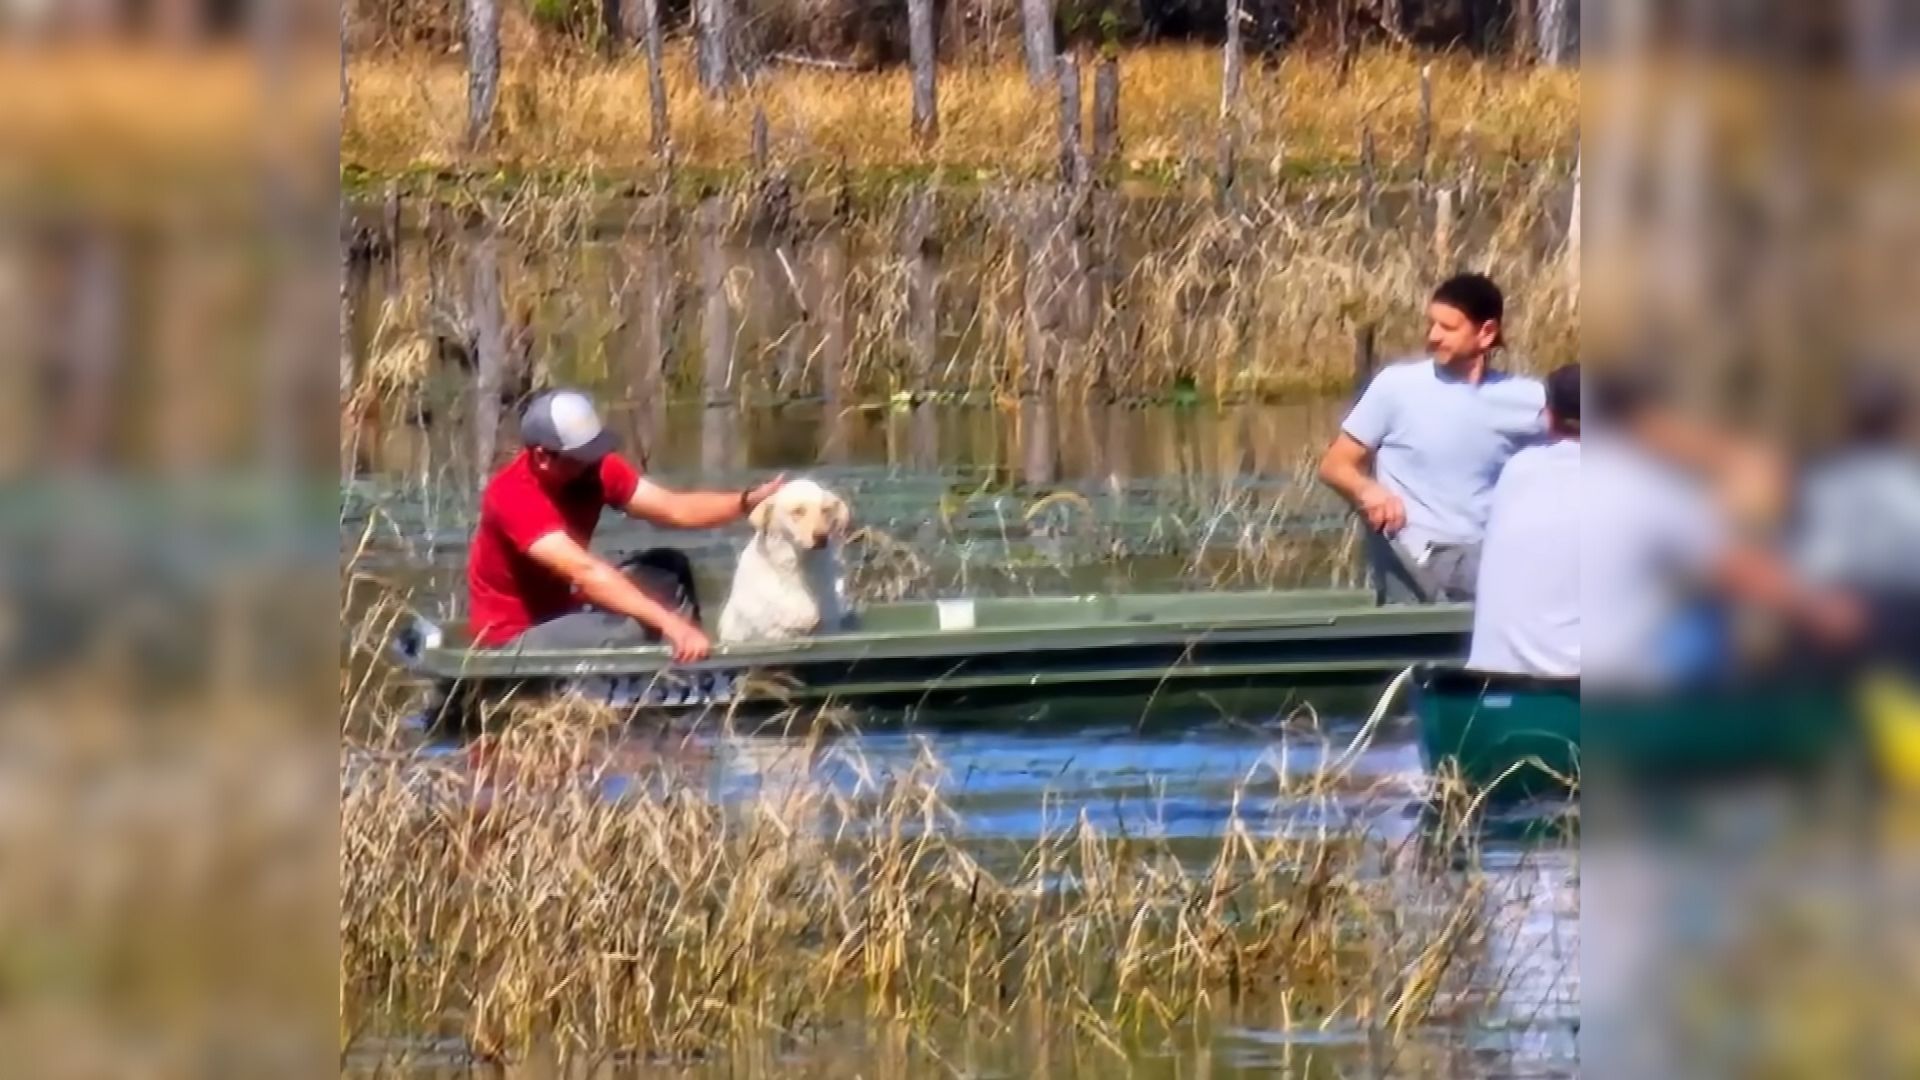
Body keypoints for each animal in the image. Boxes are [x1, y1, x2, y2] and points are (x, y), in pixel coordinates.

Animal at [718, 476, 852, 641]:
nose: (821, 538)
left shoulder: (828, 626)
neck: (798, 569)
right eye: (798, 511)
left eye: (825, 510)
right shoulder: (773, 632)